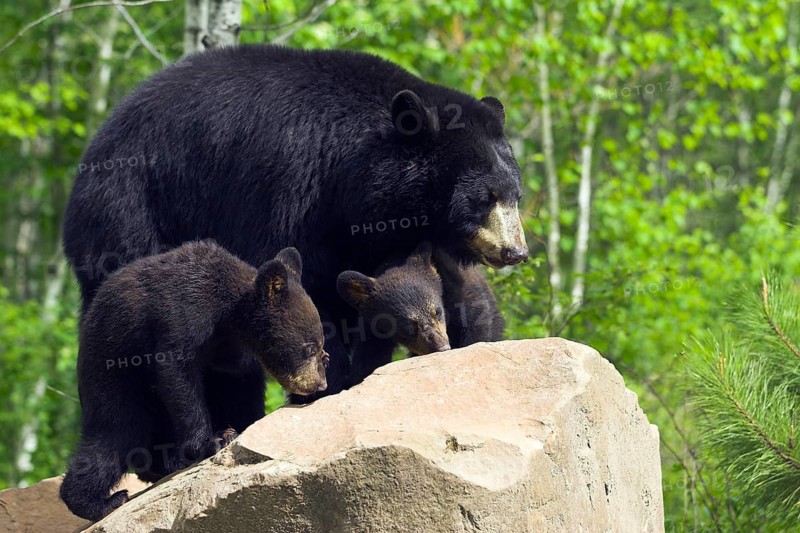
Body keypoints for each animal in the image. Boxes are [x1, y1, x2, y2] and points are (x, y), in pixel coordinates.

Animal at [59, 241, 328, 521]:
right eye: (309, 347)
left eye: (321, 346)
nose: (320, 385)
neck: (226, 311)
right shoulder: (183, 311)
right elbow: (177, 374)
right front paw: (214, 440)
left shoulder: (226, 349)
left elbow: (234, 378)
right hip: (113, 370)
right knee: (116, 432)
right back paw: (101, 501)